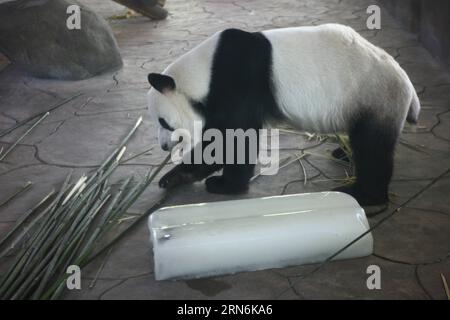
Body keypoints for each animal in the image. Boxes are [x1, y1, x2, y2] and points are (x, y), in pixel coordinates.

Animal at [149, 23, 422, 208]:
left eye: (164, 122)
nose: (163, 146)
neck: (203, 72)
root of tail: (407, 84)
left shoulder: (236, 81)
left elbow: (234, 139)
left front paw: (224, 186)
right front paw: (174, 177)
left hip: (376, 96)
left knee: (372, 148)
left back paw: (363, 195)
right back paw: (343, 153)